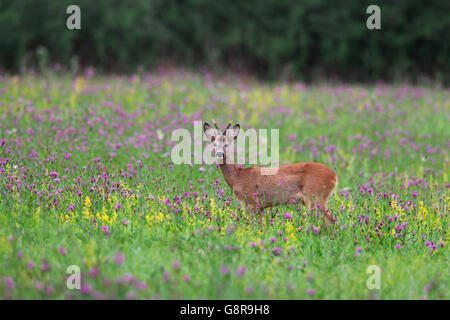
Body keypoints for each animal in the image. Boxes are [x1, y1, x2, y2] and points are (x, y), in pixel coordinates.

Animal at [204, 120, 338, 228]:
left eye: (226, 144)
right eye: (214, 144)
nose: (220, 154)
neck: (237, 177)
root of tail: (334, 176)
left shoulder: (251, 201)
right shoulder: (260, 207)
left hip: (316, 196)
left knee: (330, 221)